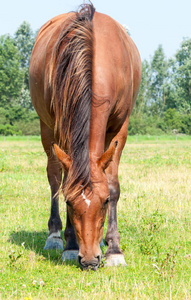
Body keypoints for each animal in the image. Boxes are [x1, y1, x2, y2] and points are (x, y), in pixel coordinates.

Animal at [28, 2, 142, 270]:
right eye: (69, 203)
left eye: (105, 202)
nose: (89, 260)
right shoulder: (61, 126)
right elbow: (64, 181)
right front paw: (70, 246)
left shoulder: (120, 127)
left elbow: (113, 184)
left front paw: (114, 249)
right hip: (47, 128)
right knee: (54, 177)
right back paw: (55, 236)